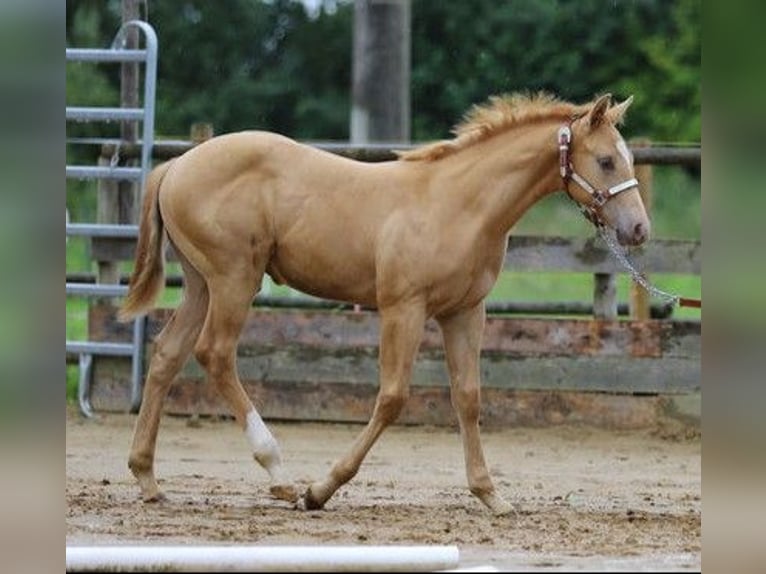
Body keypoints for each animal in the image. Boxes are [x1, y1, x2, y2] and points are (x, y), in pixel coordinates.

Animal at [118, 92, 649, 515]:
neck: (459, 203)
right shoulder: (404, 308)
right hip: (235, 279)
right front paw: (321, 490)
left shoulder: (464, 313)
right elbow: (393, 398)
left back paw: (147, 479)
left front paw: (490, 495)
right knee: (215, 353)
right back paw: (280, 475)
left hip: (201, 284)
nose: (640, 229)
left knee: (167, 354)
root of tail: (175, 166)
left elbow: (468, 398)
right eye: (606, 160)